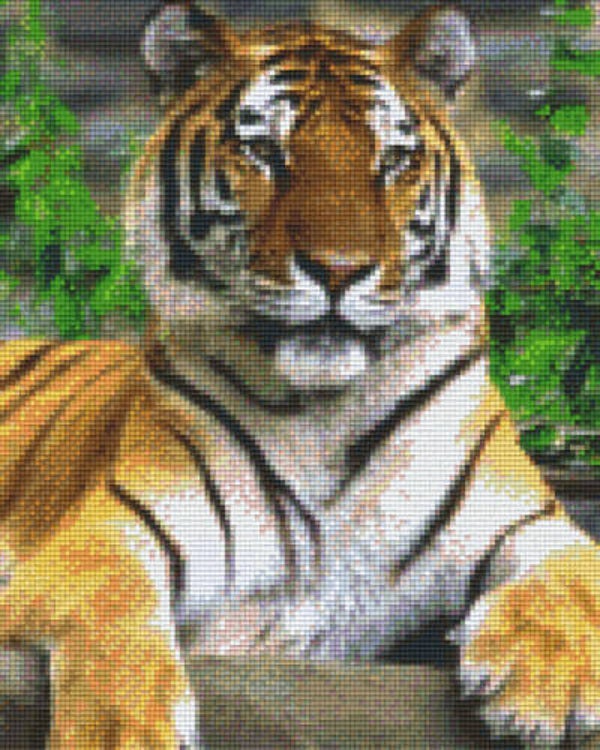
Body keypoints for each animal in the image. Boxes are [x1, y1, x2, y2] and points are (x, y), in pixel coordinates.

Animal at [1, 1, 600, 748]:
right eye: (264, 152)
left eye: (391, 160)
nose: (339, 270)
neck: (326, 414)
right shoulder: (107, 534)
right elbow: (113, 617)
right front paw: (123, 735)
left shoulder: (530, 520)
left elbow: (577, 575)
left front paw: (544, 689)